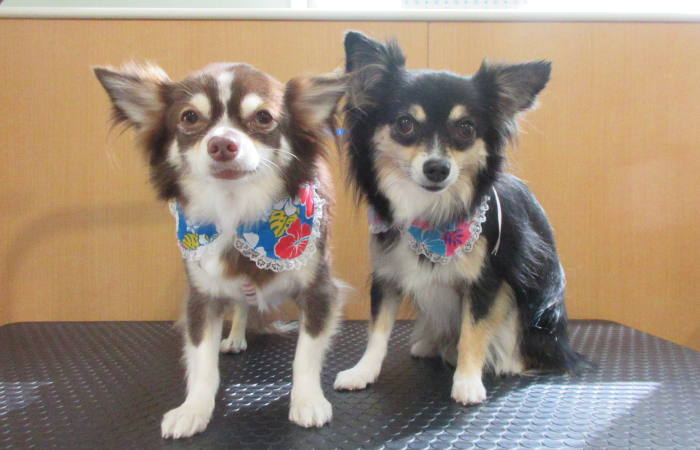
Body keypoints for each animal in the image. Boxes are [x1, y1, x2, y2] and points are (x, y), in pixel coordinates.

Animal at [94, 62, 346, 438]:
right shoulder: (202, 297)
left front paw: (307, 401)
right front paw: (193, 408)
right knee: (241, 304)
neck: (236, 211)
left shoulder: (319, 291)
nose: (222, 143)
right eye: (189, 117)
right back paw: (235, 336)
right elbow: (202, 360)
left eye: (263, 117)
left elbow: (306, 353)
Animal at [333, 31, 585, 405]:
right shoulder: (387, 273)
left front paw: (467, 382)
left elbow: (473, 332)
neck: (429, 219)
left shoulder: (488, 282)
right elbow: (377, 329)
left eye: (466, 129)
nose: (437, 168)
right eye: (405, 124)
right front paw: (363, 371)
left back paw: (505, 361)